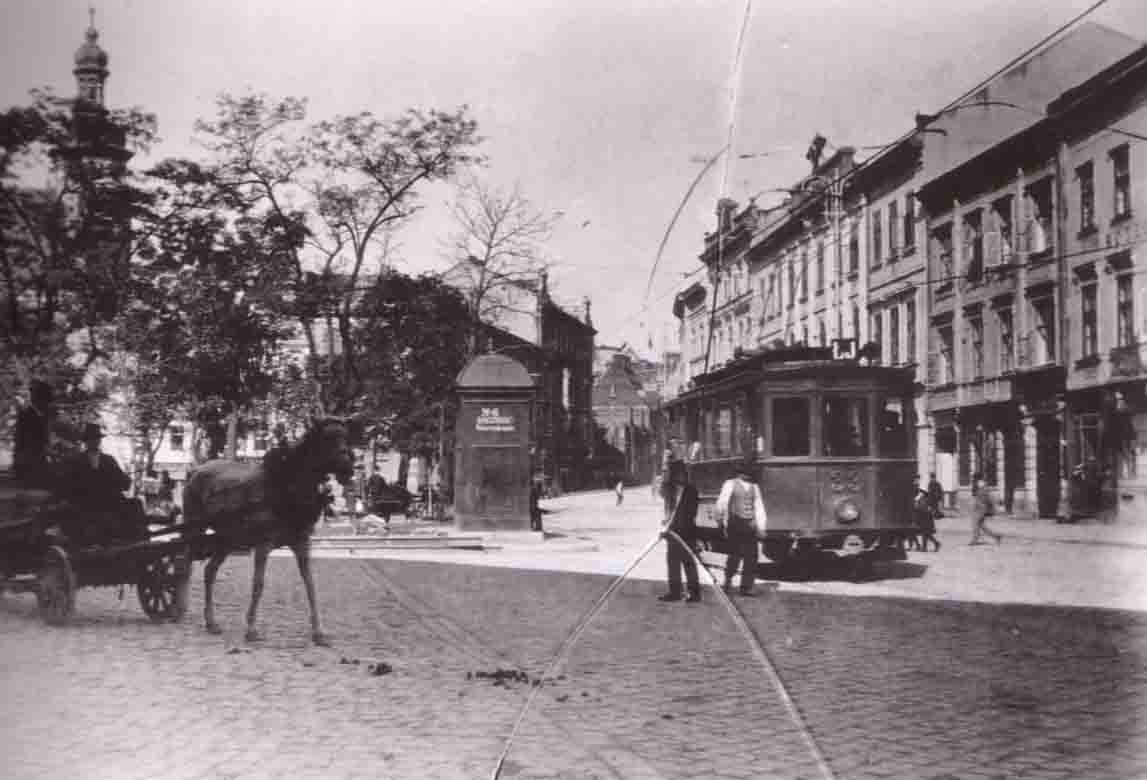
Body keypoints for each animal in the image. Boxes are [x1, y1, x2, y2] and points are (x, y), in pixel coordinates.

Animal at [181, 417, 354, 645]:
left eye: (345, 436)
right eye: (327, 438)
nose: (348, 468)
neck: (286, 489)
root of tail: (195, 471)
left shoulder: (302, 543)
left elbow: (310, 583)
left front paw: (318, 632)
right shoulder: (263, 544)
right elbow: (258, 584)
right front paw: (251, 628)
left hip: (227, 539)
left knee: (210, 570)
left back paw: (211, 622)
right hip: (195, 527)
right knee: (185, 562)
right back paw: (178, 606)